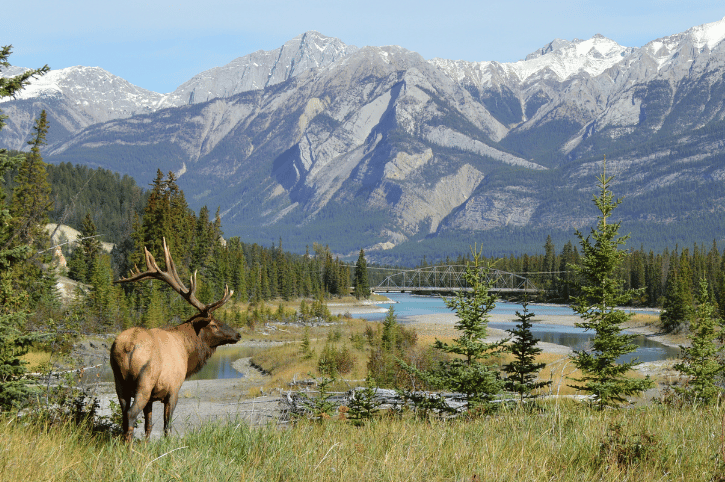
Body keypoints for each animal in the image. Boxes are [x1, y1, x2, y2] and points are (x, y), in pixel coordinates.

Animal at [110, 238, 241, 442]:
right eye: (213, 324)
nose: (237, 335)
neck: (187, 351)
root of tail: (128, 346)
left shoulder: (152, 397)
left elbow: (148, 426)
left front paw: (146, 446)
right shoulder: (173, 389)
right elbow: (166, 426)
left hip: (119, 381)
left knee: (124, 414)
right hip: (144, 381)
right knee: (131, 414)